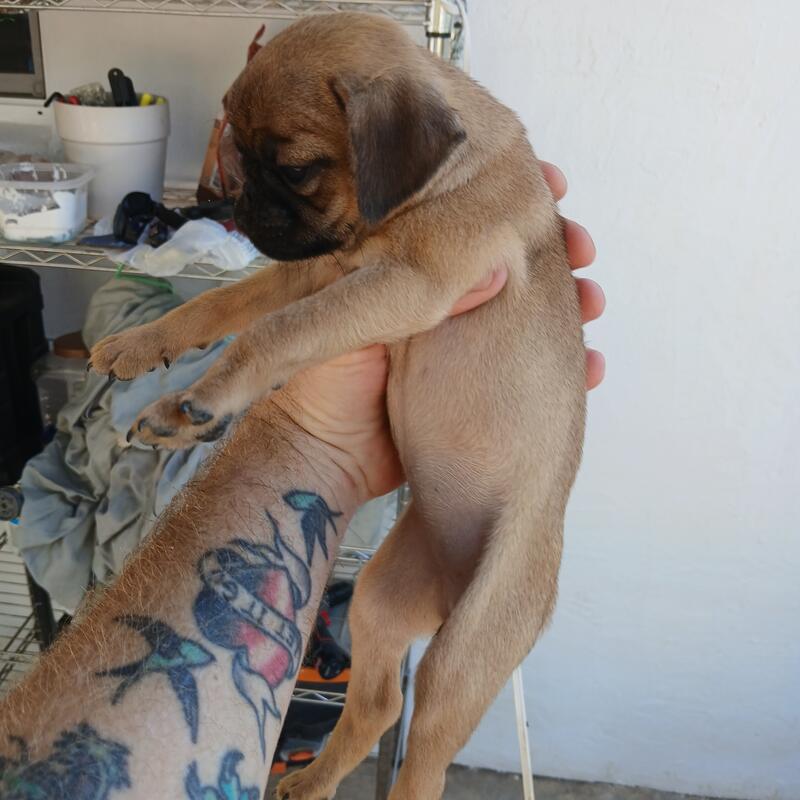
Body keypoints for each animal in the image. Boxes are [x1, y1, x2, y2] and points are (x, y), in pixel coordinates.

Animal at [89, 12, 586, 798]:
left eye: (295, 167)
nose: (237, 208)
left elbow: (271, 333)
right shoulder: (316, 272)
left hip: (461, 659)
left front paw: (196, 402)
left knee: (425, 754)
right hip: (383, 599)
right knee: (378, 704)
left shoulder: (398, 284)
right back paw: (311, 781)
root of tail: (450, 586)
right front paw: (142, 345)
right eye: (237, 154)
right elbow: (216, 307)